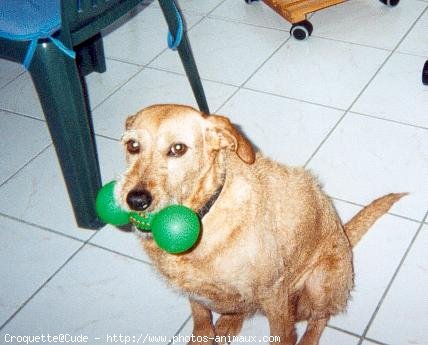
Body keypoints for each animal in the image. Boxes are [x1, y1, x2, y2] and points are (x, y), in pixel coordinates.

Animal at [115, 104, 402, 344]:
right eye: (132, 145)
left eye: (178, 149)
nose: (136, 199)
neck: (206, 212)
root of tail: (344, 235)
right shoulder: (193, 292)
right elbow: (201, 321)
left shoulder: (273, 292)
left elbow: (282, 334)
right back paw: (228, 323)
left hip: (320, 282)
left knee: (320, 318)